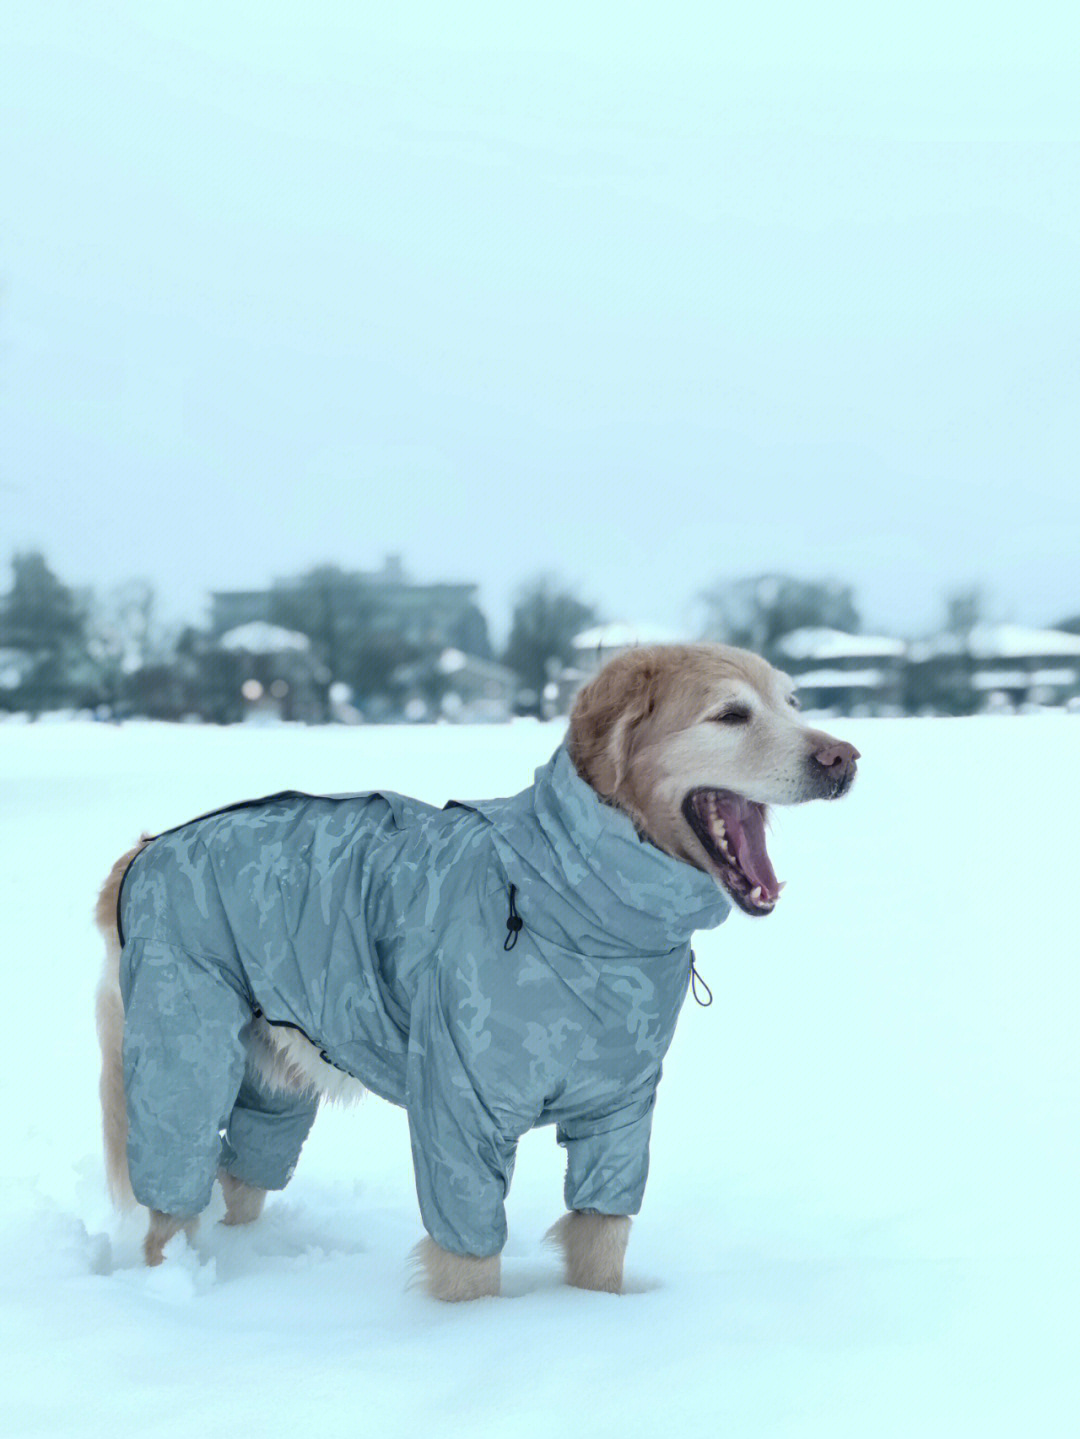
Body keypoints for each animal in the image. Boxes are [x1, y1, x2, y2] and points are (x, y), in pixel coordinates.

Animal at [94, 647, 862, 1300]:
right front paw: (474, 1336)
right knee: (172, 1189)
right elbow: (469, 1257)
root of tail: (147, 848)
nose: (845, 757)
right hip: (181, 1059)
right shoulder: (459, 1110)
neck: (573, 907)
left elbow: (601, 1236)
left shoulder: (619, 1112)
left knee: (240, 1170)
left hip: (274, 1078)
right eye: (731, 714)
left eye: (794, 702)